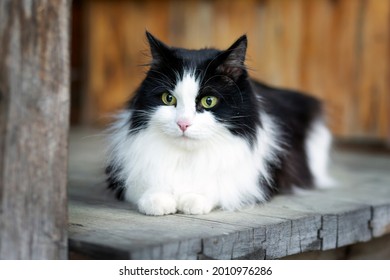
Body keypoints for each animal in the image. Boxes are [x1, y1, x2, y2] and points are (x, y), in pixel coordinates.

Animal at [105, 32, 334, 217]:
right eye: (168, 99)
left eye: (209, 101)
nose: (183, 124)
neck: (188, 159)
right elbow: (144, 186)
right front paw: (157, 199)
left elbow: (221, 187)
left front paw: (193, 198)